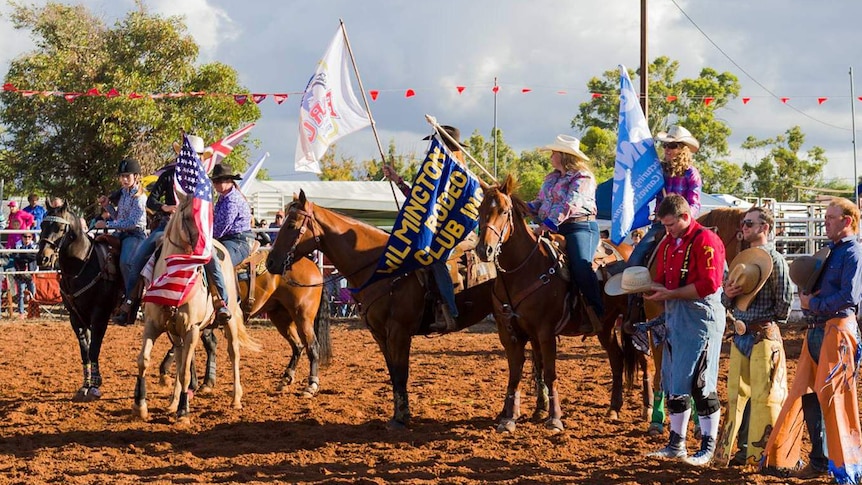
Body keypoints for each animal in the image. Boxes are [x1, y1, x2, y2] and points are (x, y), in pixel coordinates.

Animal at [37, 202, 123, 398]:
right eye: (42, 225)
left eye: (59, 227)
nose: (42, 258)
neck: (82, 265)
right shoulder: (75, 317)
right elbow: (85, 350)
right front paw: (85, 384)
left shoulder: (100, 315)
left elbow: (94, 349)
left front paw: (95, 385)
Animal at [157, 251, 332, 396]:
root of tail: (315, 268)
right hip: (281, 317)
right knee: (298, 346)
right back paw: (285, 379)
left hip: (303, 317)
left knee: (312, 347)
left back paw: (311, 386)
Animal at [264, 190, 496, 428]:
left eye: (292, 224)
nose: (270, 262)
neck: (383, 271)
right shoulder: (380, 334)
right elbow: (393, 373)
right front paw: (398, 414)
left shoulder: (399, 332)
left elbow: (401, 373)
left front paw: (402, 418)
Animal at [472, 174, 640, 432]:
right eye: (480, 210)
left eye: (503, 211)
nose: (484, 249)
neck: (523, 270)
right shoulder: (509, 333)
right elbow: (516, 374)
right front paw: (509, 418)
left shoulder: (545, 332)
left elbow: (550, 373)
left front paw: (554, 417)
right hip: (606, 325)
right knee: (617, 358)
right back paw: (614, 408)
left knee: (644, 360)